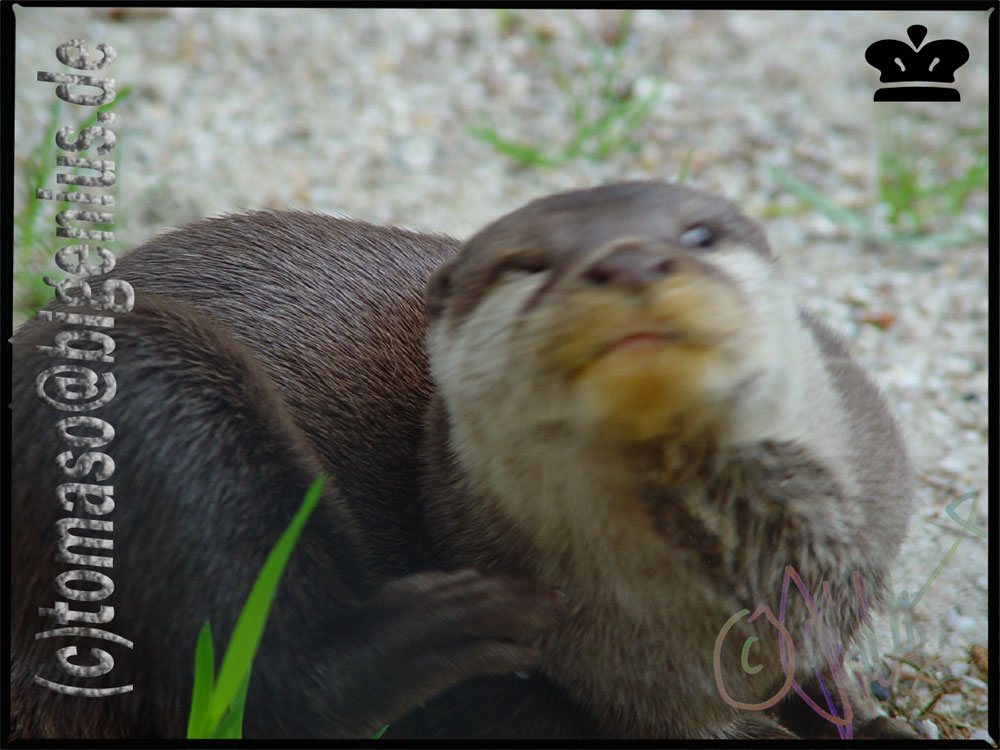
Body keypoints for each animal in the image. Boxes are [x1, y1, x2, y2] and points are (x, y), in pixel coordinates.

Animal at [9, 182, 916, 740]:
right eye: (529, 263)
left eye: (698, 235)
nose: (628, 259)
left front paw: (864, 717)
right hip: (154, 387)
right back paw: (452, 624)